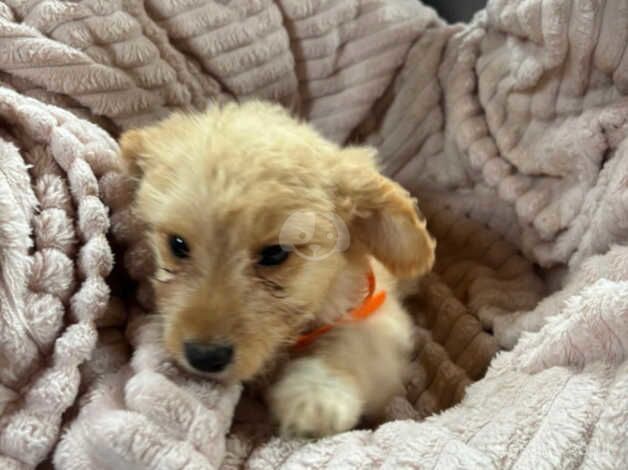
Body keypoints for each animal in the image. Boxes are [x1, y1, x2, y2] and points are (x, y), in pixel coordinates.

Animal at [121, 101, 436, 438]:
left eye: (275, 254)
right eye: (178, 244)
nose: (204, 357)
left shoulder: (377, 311)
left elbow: (354, 342)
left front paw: (314, 394)